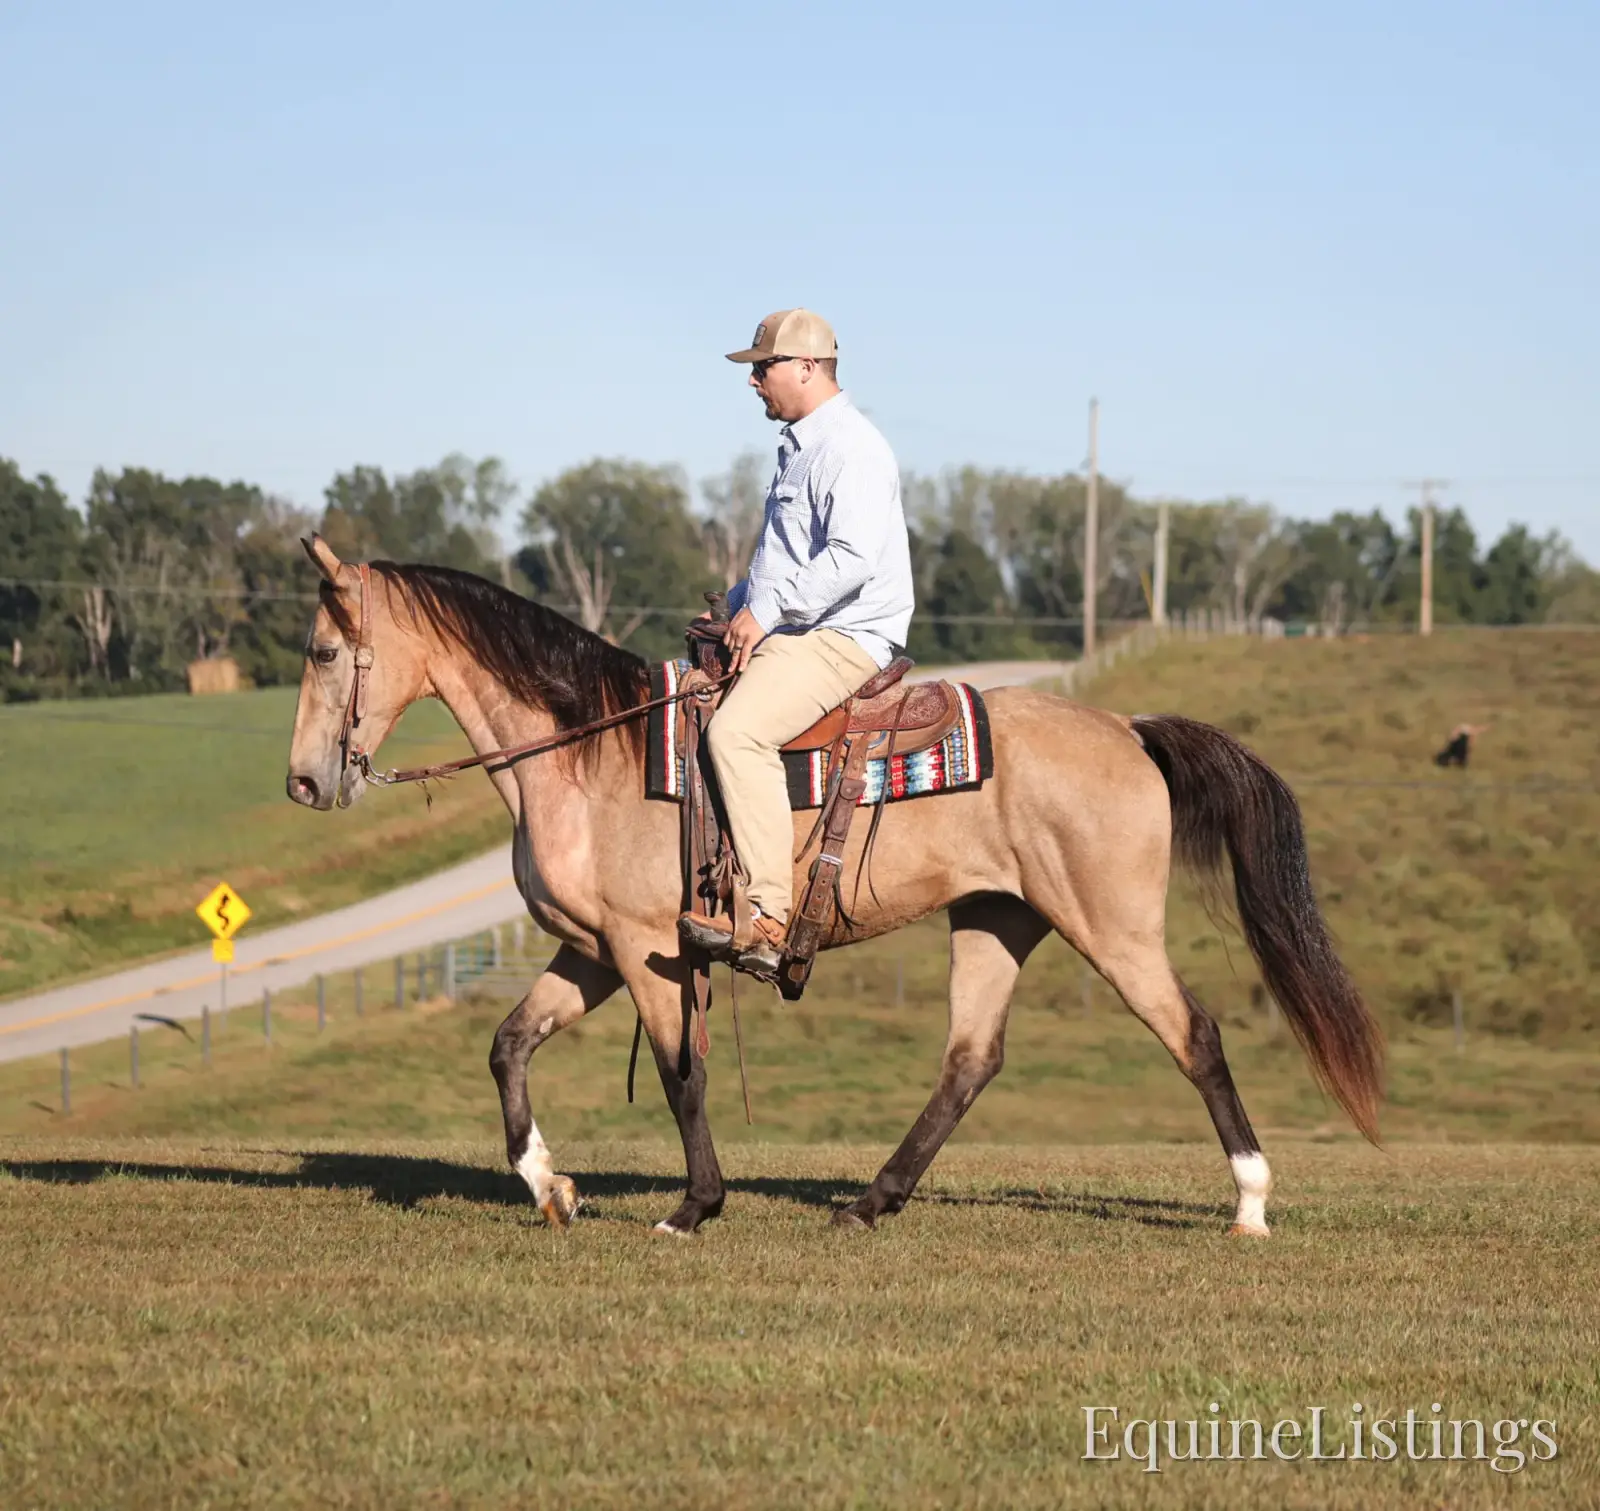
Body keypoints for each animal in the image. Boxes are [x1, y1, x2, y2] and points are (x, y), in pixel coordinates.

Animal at [285, 536, 1383, 1238]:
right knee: (969, 1060)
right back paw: (869, 1201)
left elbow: (681, 1073)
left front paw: (694, 1206)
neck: (590, 751)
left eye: (325, 650)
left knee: (1193, 1035)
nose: (302, 781)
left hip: (1109, 927)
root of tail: (1127, 727)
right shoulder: (591, 949)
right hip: (997, 919)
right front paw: (549, 1186)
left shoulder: (649, 949)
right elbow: (508, 1045)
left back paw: (1250, 1202)